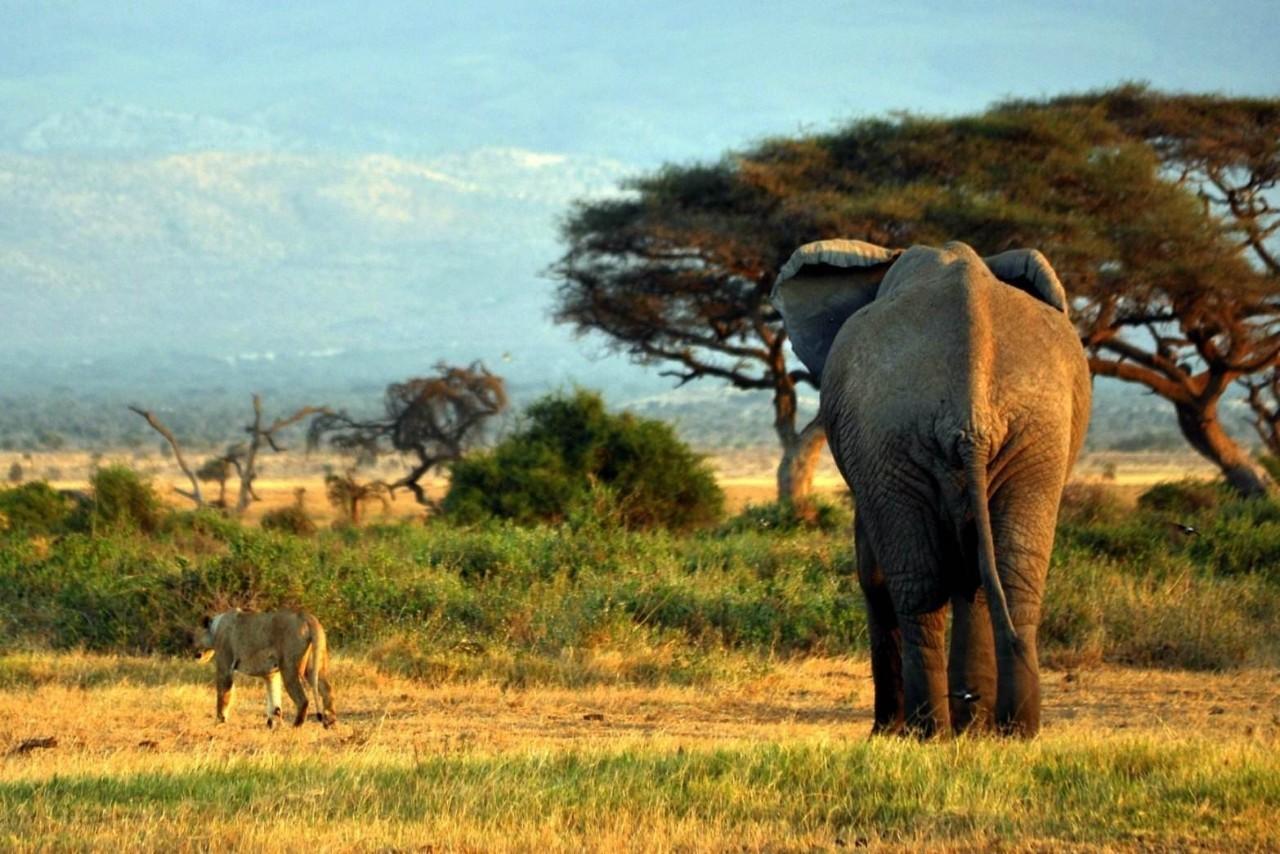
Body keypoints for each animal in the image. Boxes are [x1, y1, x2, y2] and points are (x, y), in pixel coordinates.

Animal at [768, 239, 1090, 737]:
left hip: (901, 435)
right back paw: (1008, 731)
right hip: (1032, 435)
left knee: (920, 583)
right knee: (1008, 575)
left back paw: (924, 733)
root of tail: (973, 412)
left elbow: (876, 570)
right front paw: (971, 729)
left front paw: (891, 734)